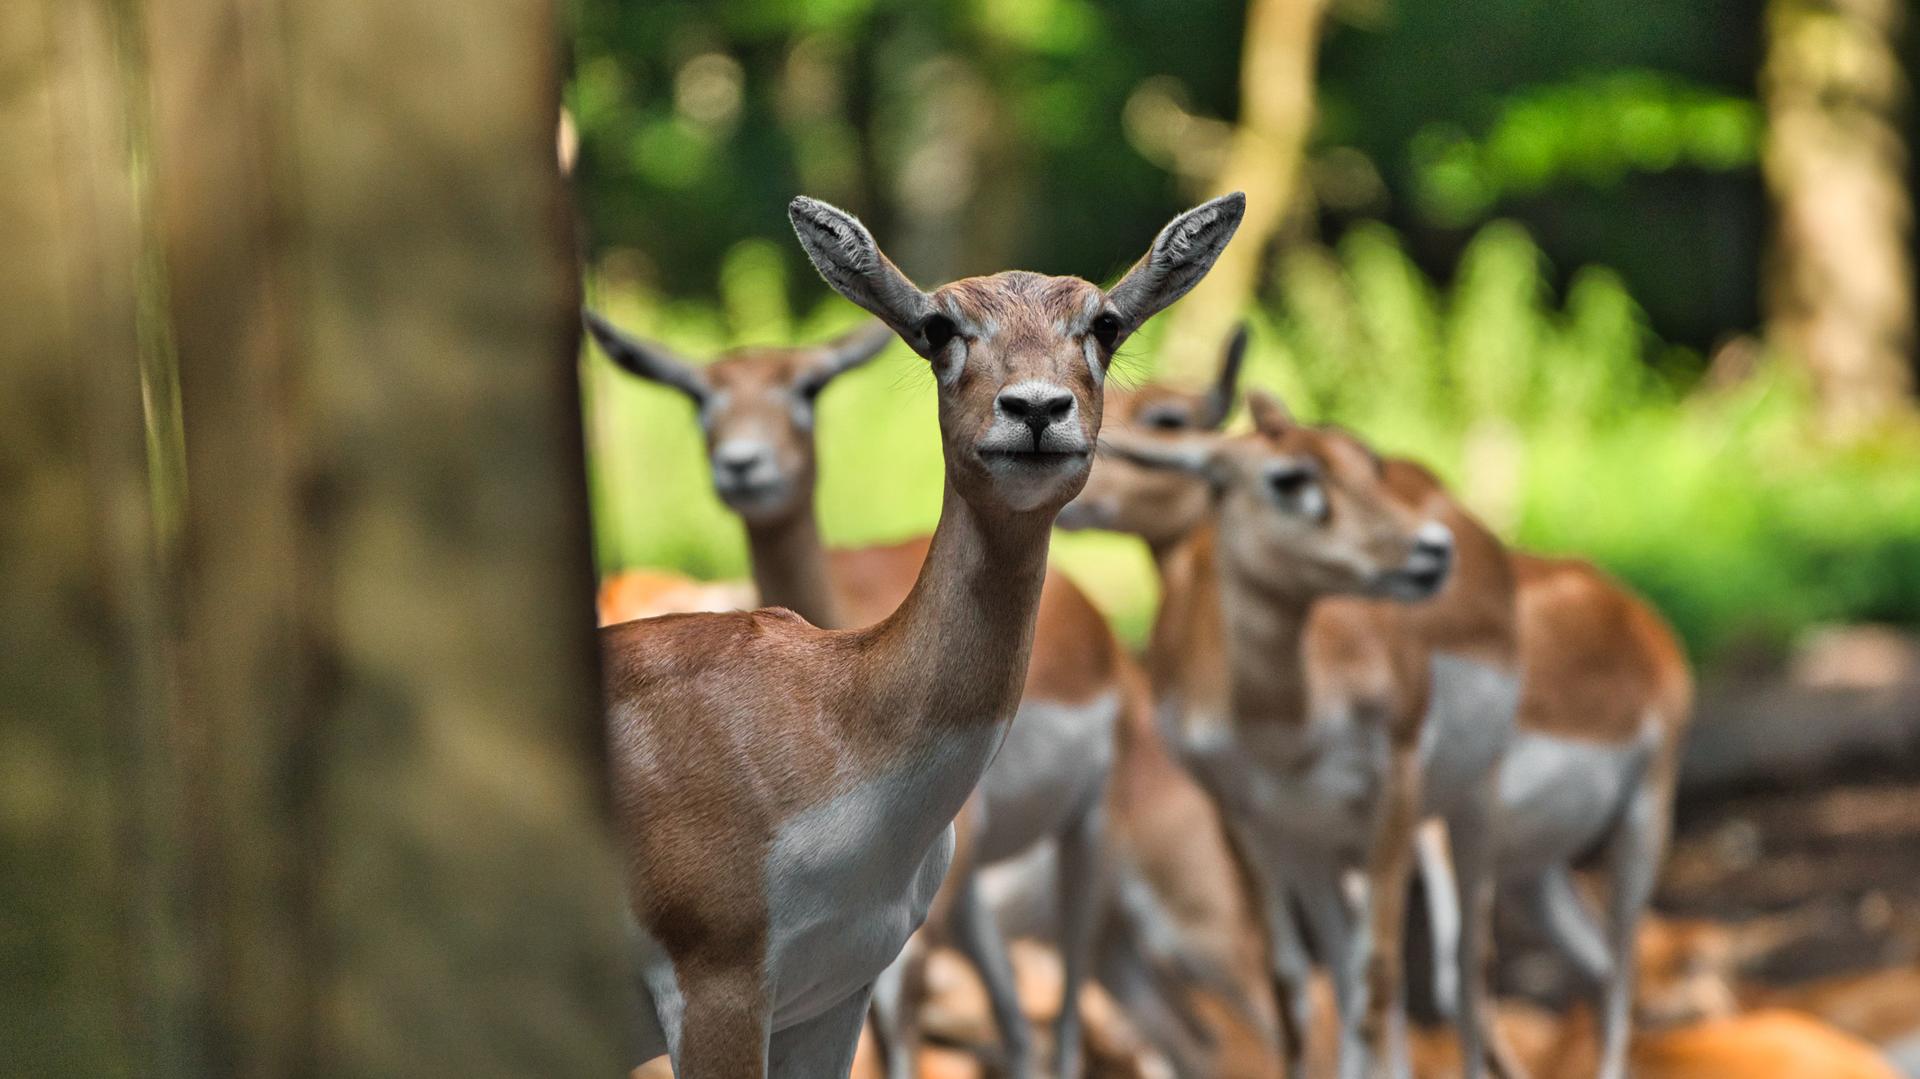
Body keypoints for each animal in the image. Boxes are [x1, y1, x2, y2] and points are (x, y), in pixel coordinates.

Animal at [602, 192, 1244, 1075]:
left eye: (1106, 323)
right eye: (939, 326)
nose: (1036, 409)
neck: (833, 716)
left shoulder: (831, 993)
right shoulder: (717, 989)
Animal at [1098, 387, 1512, 1075]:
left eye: (1367, 464)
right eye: (1290, 477)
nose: (1431, 549)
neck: (1288, 725)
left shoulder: (1396, 793)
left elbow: (1376, 975)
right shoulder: (1250, 822)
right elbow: (1293, 985)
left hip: (1461, 813)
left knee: (1463, 973)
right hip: (1321, 850)